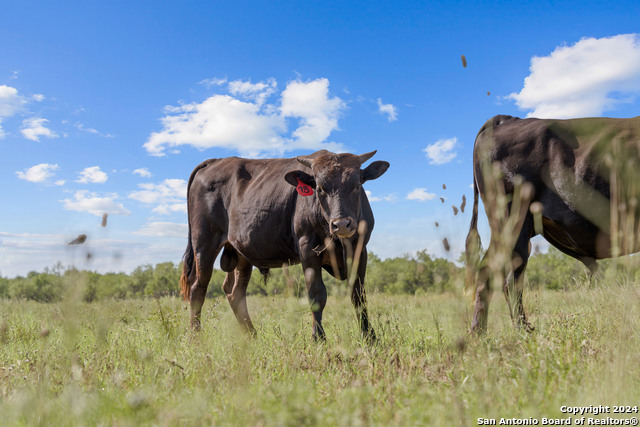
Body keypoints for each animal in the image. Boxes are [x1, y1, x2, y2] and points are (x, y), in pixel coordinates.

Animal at [180, 150, 390, 342]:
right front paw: (318, 338)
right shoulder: (307, 248)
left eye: (357, 185)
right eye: (320, 188)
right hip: (204, 244)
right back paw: (195, 337)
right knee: (198, 287)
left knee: (234, 291)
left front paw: (370, 337)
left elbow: (358, 295)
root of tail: (216, 160)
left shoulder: (360, 249)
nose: (342, 224)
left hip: (241, 253)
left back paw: (251, 336)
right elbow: (317, 294)